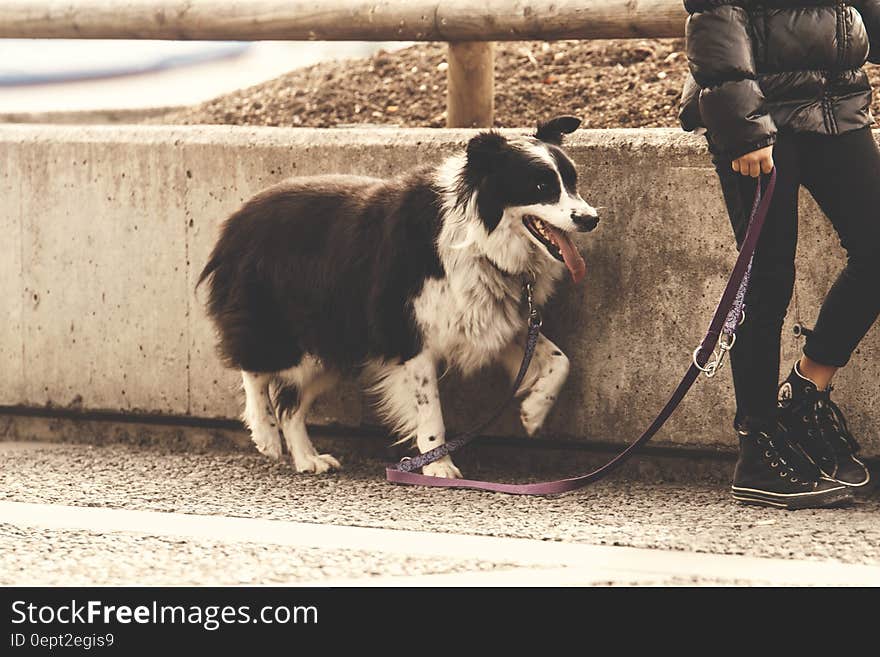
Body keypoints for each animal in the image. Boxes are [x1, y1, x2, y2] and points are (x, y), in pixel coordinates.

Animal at [198, 116, 600, 476]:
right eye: (541, 186)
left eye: (573, 182)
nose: (591, 218)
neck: (479, 239)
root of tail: (235, 221)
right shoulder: (411, 335)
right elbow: (430, 409)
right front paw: (438, 466)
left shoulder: (493, 320)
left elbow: (561, 360)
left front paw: (533, 412)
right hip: (282, 323)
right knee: (254, 367)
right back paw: (265, 434)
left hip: (335, 341)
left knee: (291, 405)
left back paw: (308, 458)